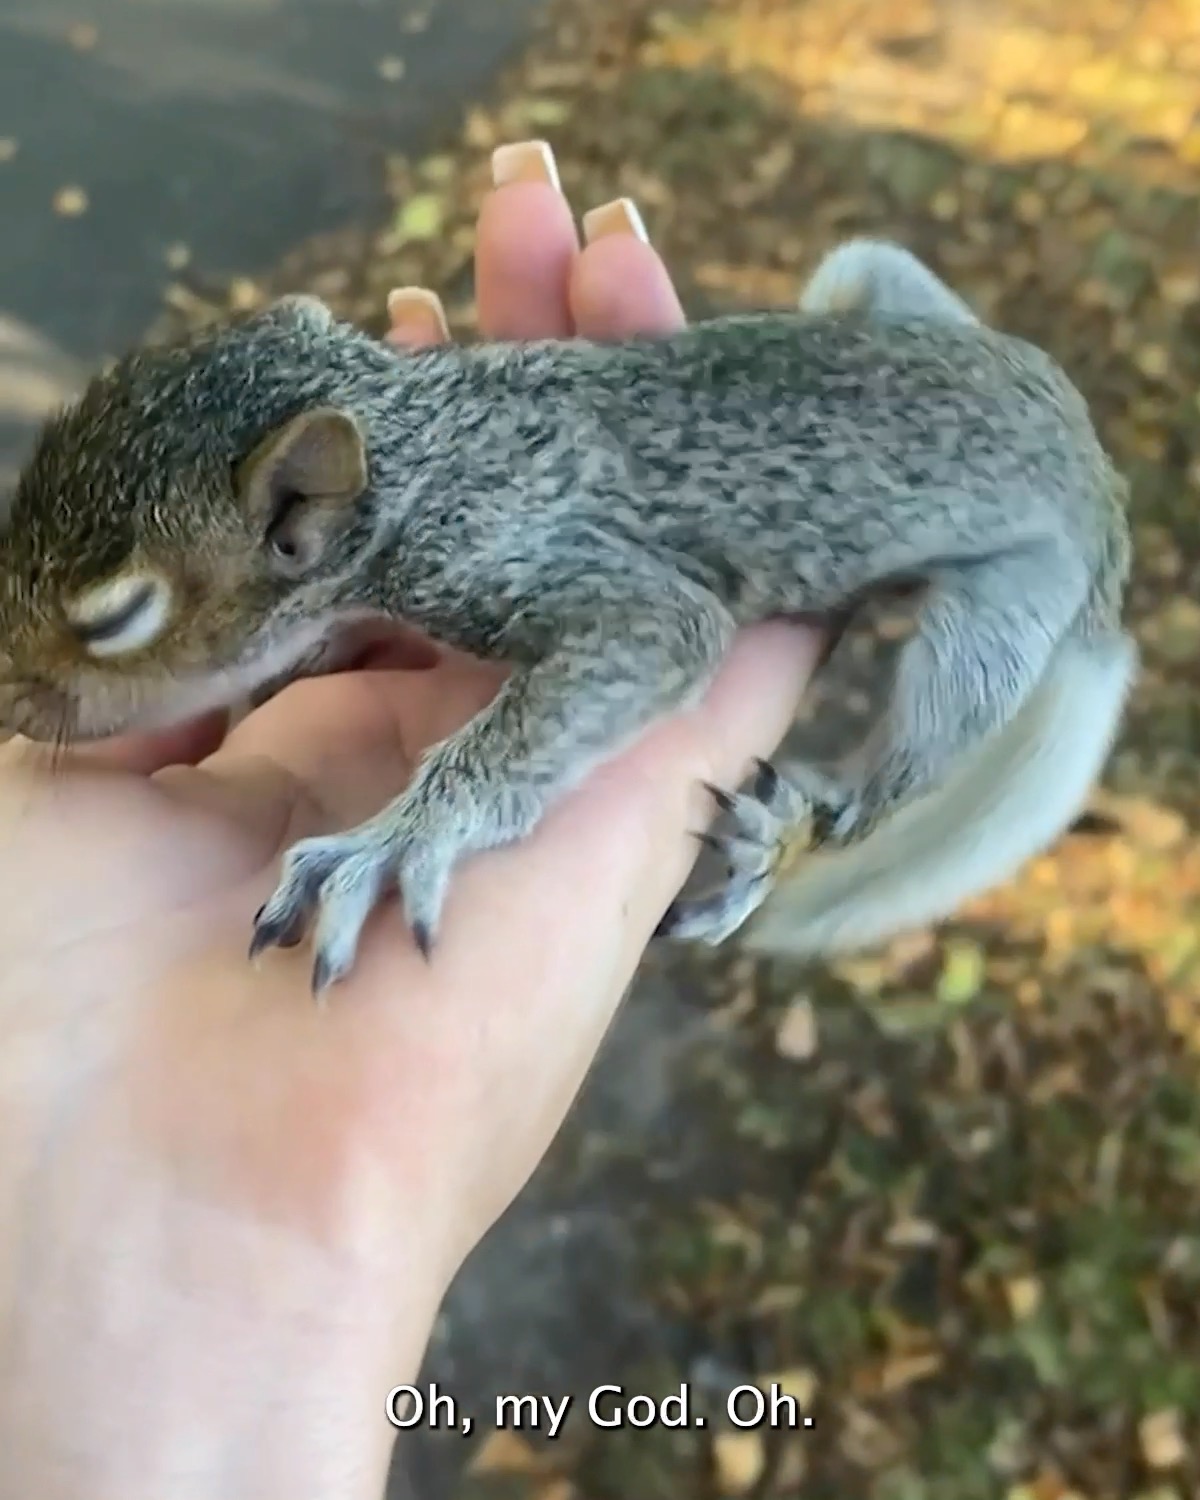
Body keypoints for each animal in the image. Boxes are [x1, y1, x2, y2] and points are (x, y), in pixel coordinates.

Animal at [0, 239, 1136, 997]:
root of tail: (1098, 472)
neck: (424, 448)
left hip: (996, 619)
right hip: (871, 283)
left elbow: (656, 632)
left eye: (117, 617)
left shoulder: (525, 558)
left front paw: (399, 839)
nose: (9, 704)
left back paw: (784, 840)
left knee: (896, 773)